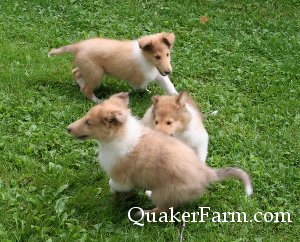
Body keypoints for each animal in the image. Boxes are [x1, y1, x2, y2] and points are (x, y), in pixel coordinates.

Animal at [48, 32, 177, 102]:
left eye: (167, 54)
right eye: (157, 57)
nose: (168, 71)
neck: (147, 59)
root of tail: (79, 46)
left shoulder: (159, 74)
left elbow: (169, 86)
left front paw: (178, 99)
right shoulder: (139, 79)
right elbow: (141, 87)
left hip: (87, 67)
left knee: (76, 72)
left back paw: (80, 83)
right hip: (96, 73)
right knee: (86, 89)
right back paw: (97, 100)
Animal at [67, 91, 252, 216]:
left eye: (88, 122)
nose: (67, 129)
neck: (119, 136)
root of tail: (207, 173)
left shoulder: (121, 177)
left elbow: (113, 184)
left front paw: (118, 195)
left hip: (163, 193)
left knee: (165, 209)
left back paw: (142, 213)